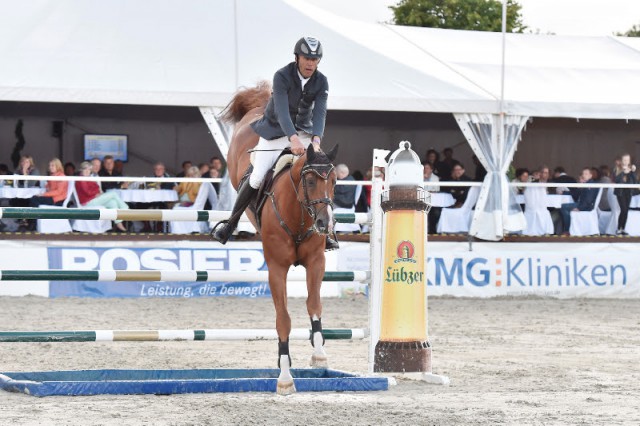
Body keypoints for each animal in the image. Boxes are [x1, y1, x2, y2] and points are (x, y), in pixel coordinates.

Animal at [221, 82, 340, 396]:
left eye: (334, 181)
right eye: (309, 181)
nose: (324, 224)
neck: (298, 214)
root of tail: (259, 107)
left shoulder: (316, 262)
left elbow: (314, 305)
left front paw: (319, 353)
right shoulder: (276, 268)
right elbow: (283, 319)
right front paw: (285, 377)